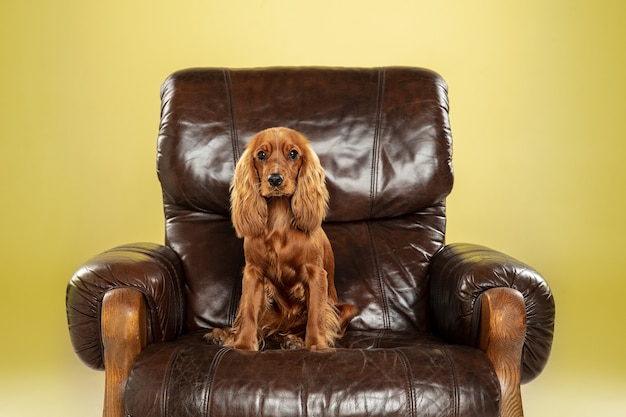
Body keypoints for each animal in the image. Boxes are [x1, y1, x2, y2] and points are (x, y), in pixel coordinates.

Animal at [205, 126, 356, 348]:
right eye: (261, 155)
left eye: (293, 154)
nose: (275, 179)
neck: (279, 218)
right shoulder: (253, 273)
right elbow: (249, 313)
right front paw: (243, 346)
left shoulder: (316, 274)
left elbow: (316, 315)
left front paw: (315, 345)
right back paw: (224, 335)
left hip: (345, 309)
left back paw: (294, 340)